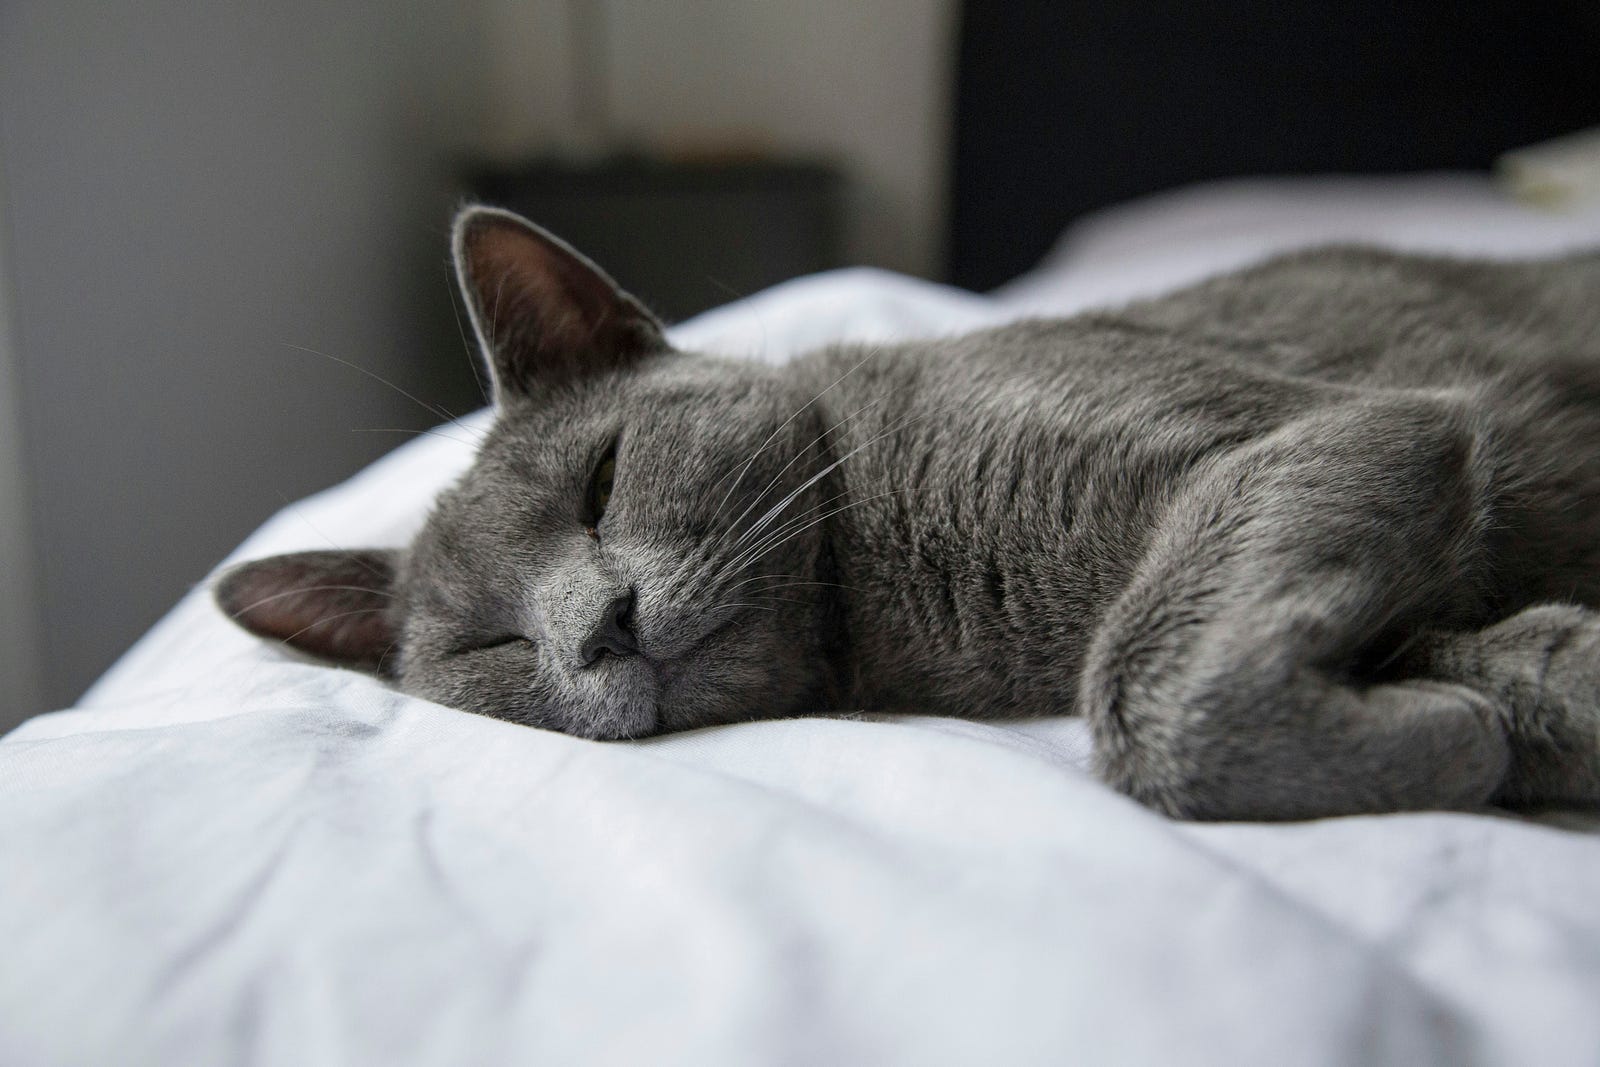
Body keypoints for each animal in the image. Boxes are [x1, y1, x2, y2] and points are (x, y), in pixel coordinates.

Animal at [219, 211, 1600, 825]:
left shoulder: (1332, 430)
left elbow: (1145, 679)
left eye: (601, 482)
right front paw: (1478, 724)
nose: (597, 626)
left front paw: (1459, 739)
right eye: (491, 648)